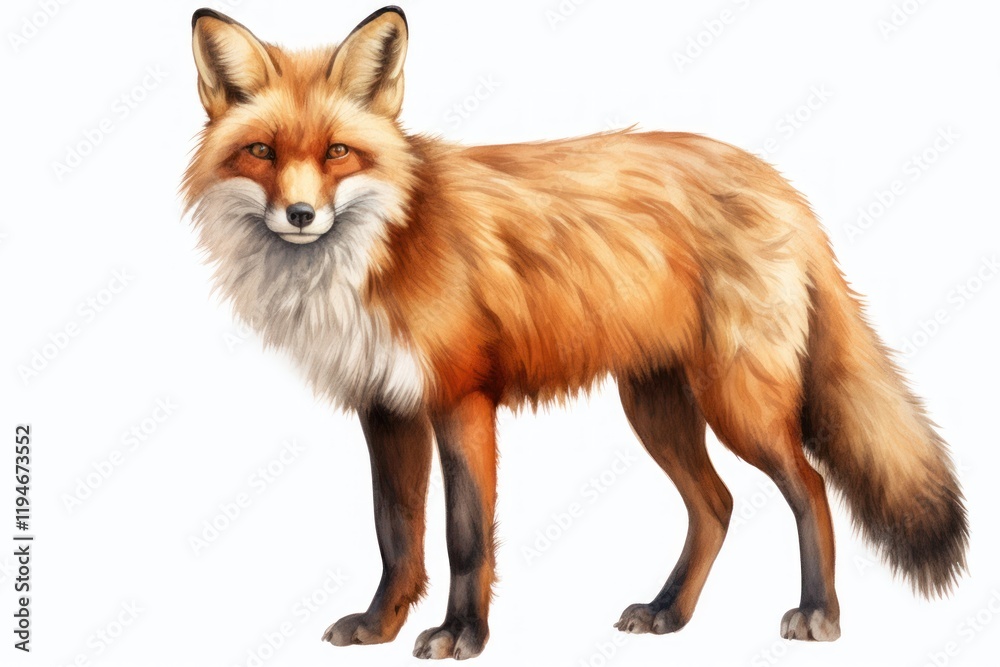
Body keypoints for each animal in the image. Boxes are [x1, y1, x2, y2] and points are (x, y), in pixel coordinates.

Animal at [183, 5, 968, 660]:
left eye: (338, 152)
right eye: (261, 151)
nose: (301, 216)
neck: (384, 248)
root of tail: (780, 183)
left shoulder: (461, 398)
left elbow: (466, 535)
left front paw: (463, 633)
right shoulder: (387, 407)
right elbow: (396, 532)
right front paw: (381, 626)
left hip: (738, 404)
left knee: (811, 486)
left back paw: (818, 612)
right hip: (655, 406)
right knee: (716, 505)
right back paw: (668, 612)